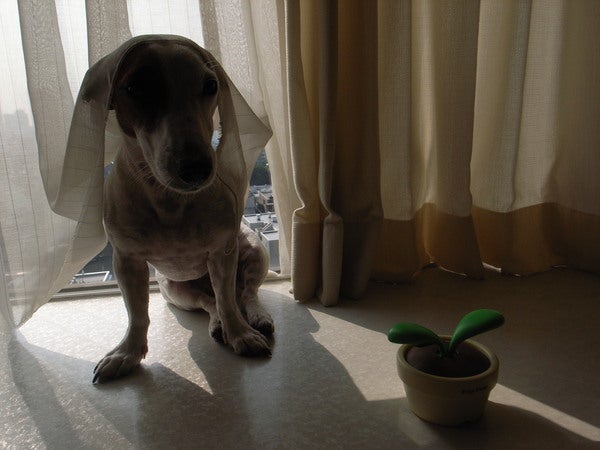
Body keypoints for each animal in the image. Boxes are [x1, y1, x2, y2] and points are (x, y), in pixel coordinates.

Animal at [92, 37, 274, 383]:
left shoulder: (222, 253)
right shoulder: (127, 261)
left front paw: (242, 336)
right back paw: (217, 325)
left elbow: (228, 300)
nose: (197, 168)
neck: (170, 201)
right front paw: (127, 353)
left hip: (255, 251)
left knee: (243, 293)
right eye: (136, 87)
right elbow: (137, 314)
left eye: (211, 85)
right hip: (175, 290)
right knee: (209, 300)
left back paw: (256, 317)